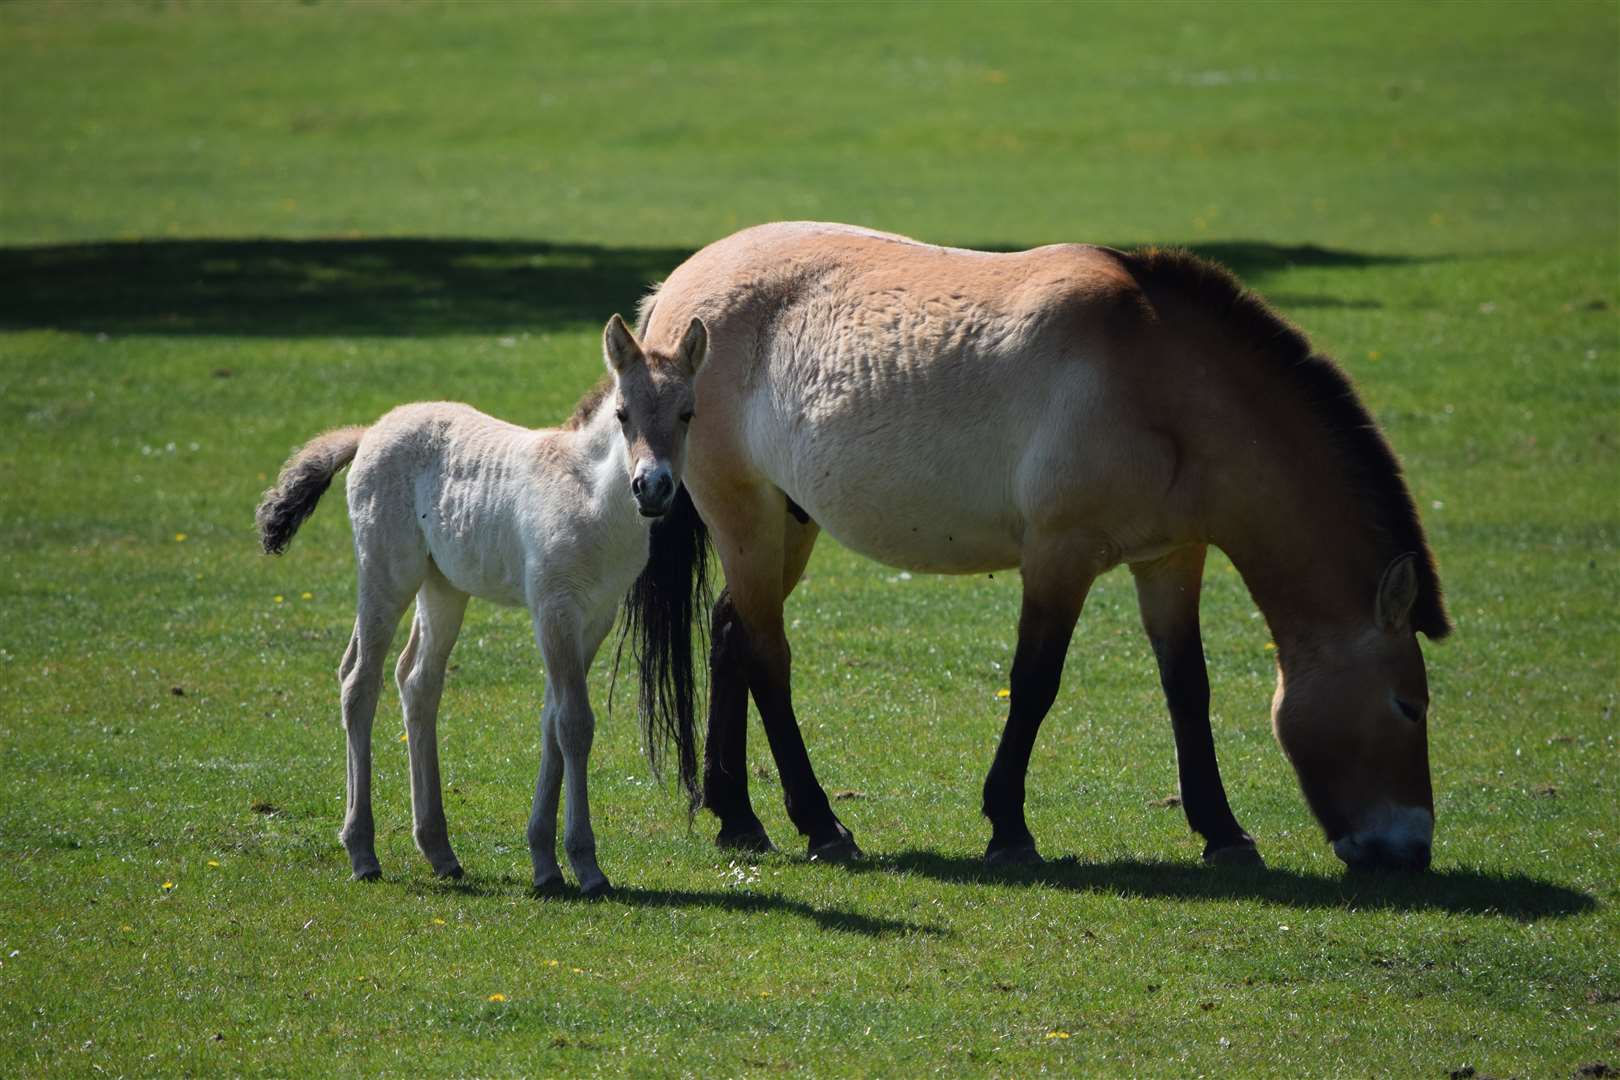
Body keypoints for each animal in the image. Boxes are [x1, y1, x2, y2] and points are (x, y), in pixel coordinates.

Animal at [255, 314, 706, 893]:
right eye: (623, 413)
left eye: (687, 413)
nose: (651, 488)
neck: (592, 500)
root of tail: (370, 431)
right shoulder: (554, 609)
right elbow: (574, 724)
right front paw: (585, 865)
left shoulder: (595, 617)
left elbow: (552, 722)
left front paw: (544, 861)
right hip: (386, 575)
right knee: (359, 680)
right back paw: (362, 851)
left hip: (443, 587)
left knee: (417, 682)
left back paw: (439, 851)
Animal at [625, 223, 1451, 874]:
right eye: (1409, 705)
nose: (1411, 851)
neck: (1163, 384)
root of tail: (674, 293)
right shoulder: (1060, 556)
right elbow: (1035, 684)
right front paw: (1009, 829)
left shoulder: (1170, 558)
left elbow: (1187, 687)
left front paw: (1223, 833)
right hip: (744, 515)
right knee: (767, 656)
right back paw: (821, 825)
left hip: (786, 525)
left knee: (731, 632)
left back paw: (740, 819)